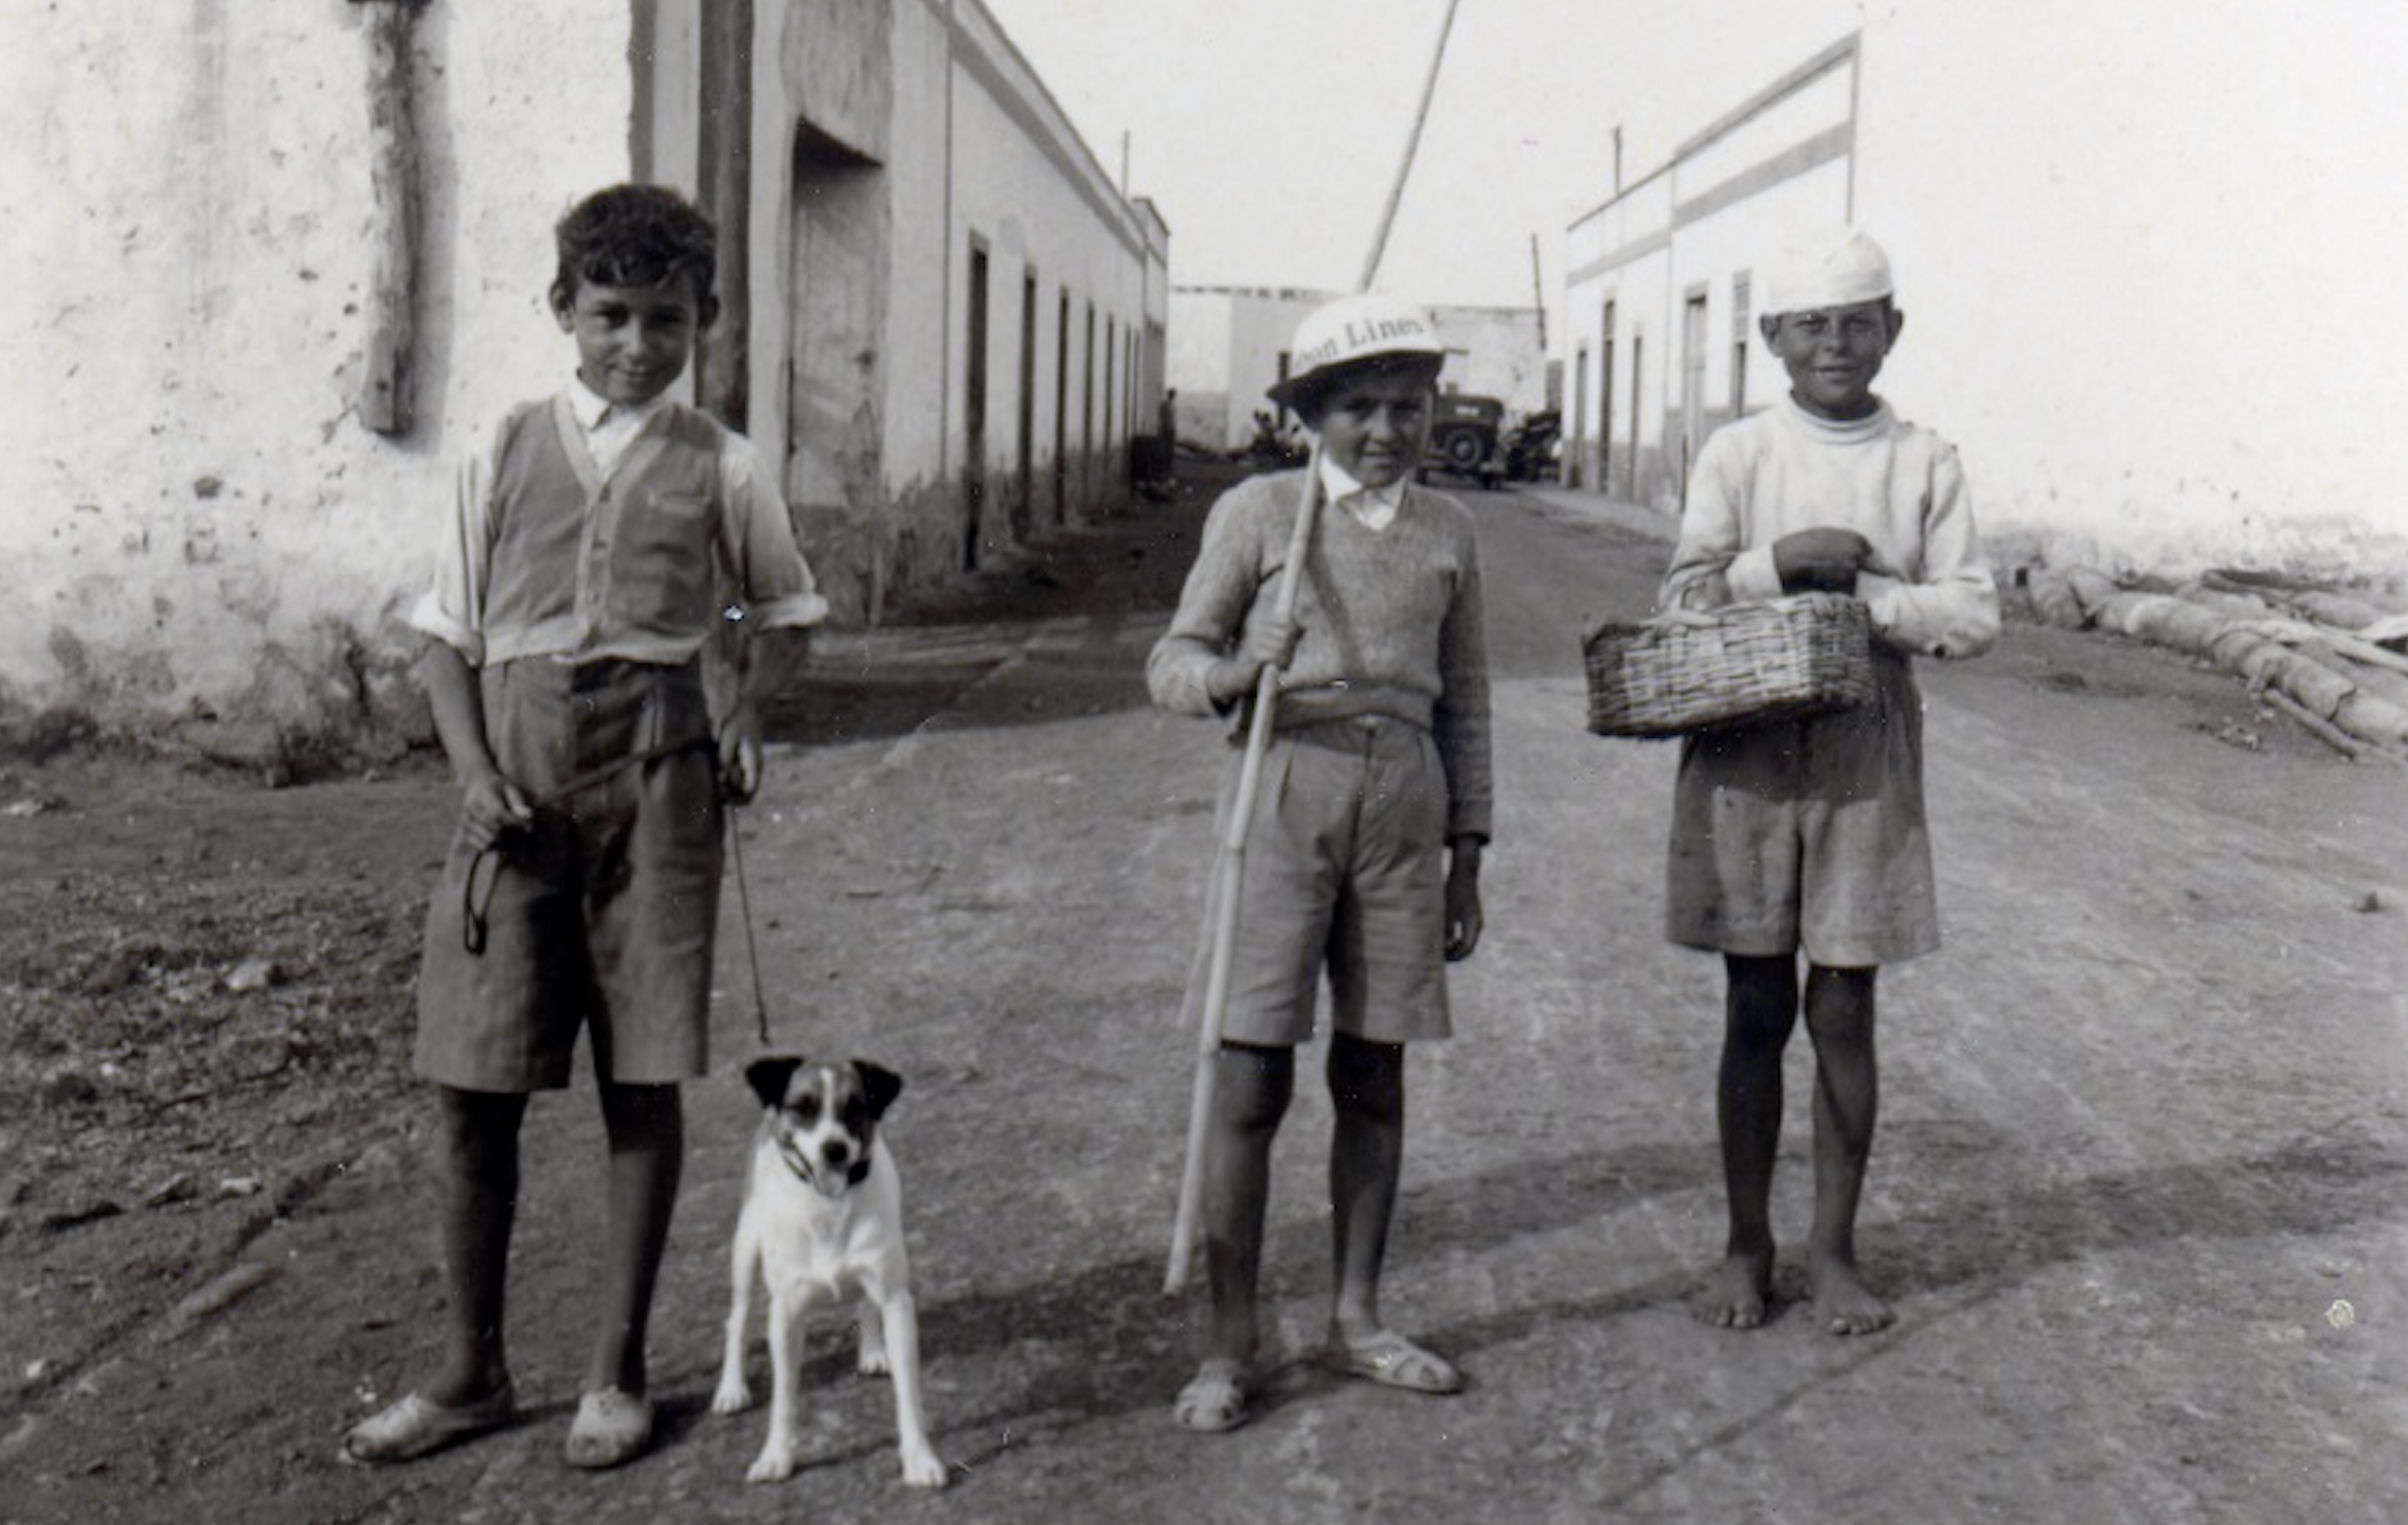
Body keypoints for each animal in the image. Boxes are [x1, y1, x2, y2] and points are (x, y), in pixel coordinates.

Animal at [707, 1050, 943, 1484]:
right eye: (803, 1108)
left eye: (855, 1108)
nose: (834, 1149)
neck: (829, 1205)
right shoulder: (785, 1314)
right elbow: (783, 1397)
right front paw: (776, 1456)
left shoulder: (896, 1302)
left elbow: (909, 1394)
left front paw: (920, 1458)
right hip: (745, 1250)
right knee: (738, 1319)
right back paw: (731, 1388)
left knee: (864, 1302)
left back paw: (873, 1350)